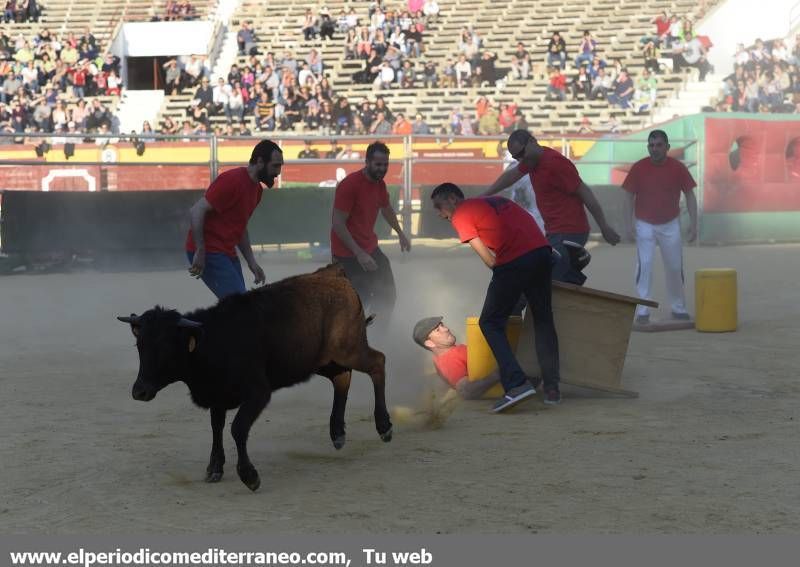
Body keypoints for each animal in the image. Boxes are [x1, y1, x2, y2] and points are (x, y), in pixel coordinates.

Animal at [118, 266, 390, 492]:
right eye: (139, 345)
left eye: (166, 348)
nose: (139, 392)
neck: (213, 341)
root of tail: (334, 274)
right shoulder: (217, 396)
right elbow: (216, 428)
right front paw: (214, 468)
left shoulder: (258, 393)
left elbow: (237, 428)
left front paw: (249, 475)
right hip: (323, 361)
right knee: (342, 378)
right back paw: (337, 433)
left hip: (350, 350)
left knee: (378, 363)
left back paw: (384, 426)